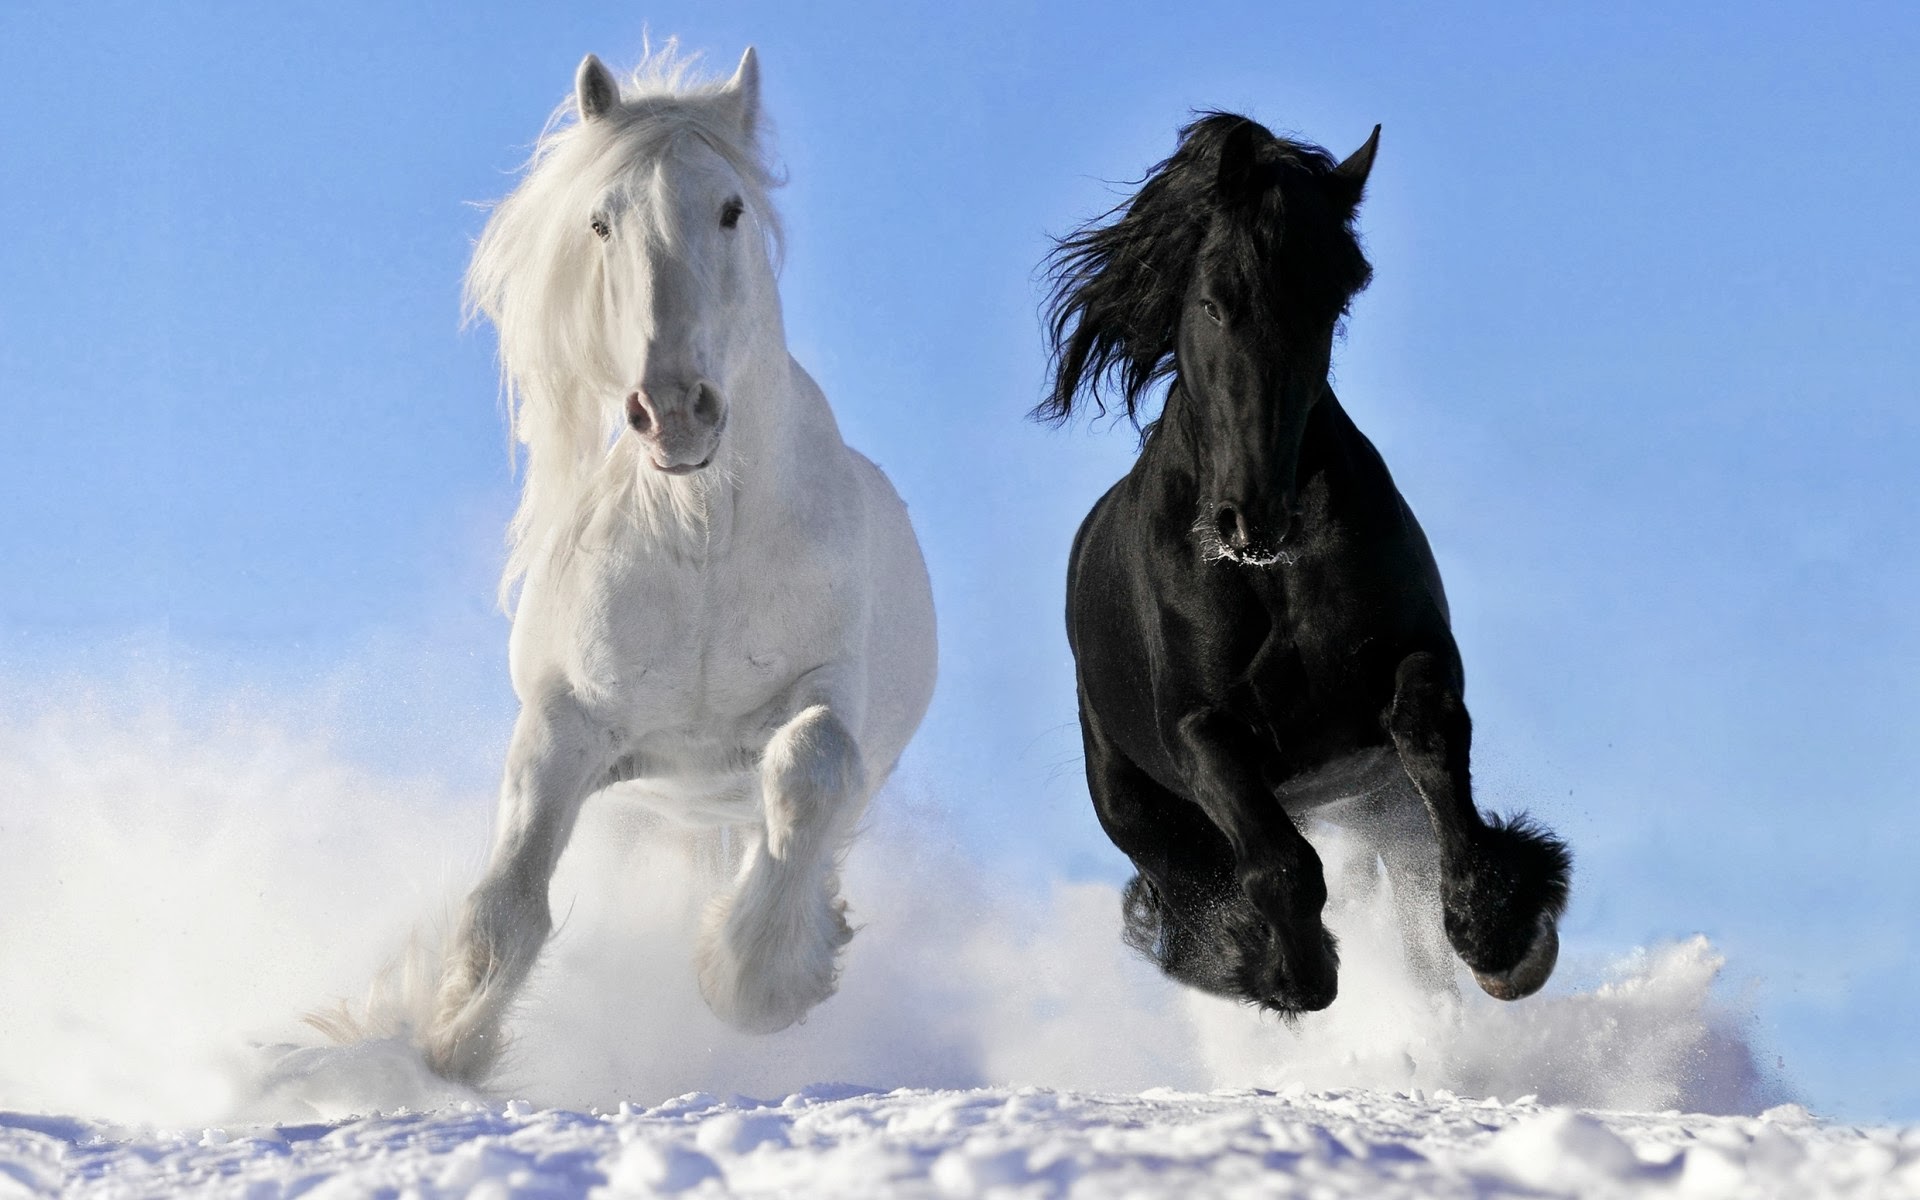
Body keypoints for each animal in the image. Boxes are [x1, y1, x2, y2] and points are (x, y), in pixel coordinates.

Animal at [418, 47, 937, 1085]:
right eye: (600, 219)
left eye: (731, 208)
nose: (672, 410)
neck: (700, 537)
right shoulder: (567, 723)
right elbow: (506, 902)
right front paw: (444, 1047)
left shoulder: (829, 693)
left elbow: (812, 766)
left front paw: (754, 981)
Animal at [1037, 113, 1570, 1016]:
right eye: (1214, 301)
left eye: (1328, 303)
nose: (1251, 516)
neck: (1269, 576)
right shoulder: (1200, 732)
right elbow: (1278, 864)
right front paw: (1284, 968)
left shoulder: (1414, 657)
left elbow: (1430, 739)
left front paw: (1502, 932)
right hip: (1139, 807)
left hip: (1376, 803)